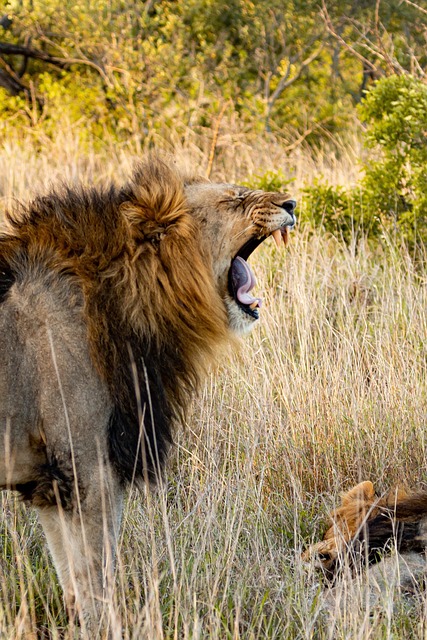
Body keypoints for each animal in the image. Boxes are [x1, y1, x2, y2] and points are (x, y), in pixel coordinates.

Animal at [0, 157, 296, 629]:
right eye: (235, 198)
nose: (292, 204)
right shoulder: (86, 470)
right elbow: (96, 586)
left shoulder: (51, 485)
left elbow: (73, 588)